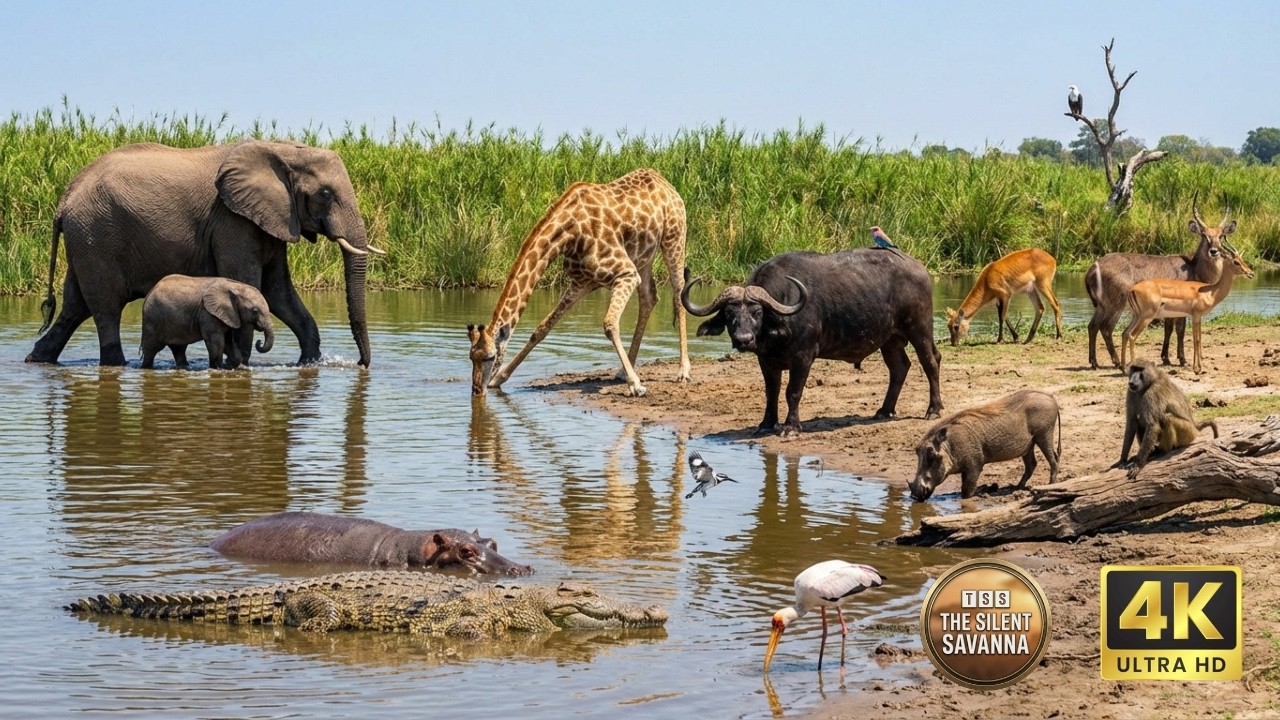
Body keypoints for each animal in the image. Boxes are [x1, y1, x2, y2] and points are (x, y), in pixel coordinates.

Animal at [140, 274, 276, 370]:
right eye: (255, 311)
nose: (259, 342)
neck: (235, 287)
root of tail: (150, 292)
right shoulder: (208, 313)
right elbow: (217, 342)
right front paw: (217, 368)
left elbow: (227, 342)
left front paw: (235, 366)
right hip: (153, 319)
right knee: (150, 349)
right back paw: (146, 367)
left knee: (179, 348)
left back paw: (184, 367)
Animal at [467, 168, 691, 397]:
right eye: (471, 357)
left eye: (490, 357)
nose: (477, 390)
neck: (569, 231)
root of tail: (664, 181)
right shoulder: (581, 282)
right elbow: (542, 328)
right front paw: (499, 379)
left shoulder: (625, 274)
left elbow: (609, 324)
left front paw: (636, 385)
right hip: (643, 257)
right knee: (649, 297)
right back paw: (622, 370)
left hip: (674, 237)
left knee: (678, 293)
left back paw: (683, 371)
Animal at [682, 249, 943, 435]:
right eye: (729, 314)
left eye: (757, 312)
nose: (743, 340)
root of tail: (919, 268)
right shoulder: (766, 360)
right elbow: (771, 391)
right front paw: (766, 423)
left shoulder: (803, 356)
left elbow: (793, 391)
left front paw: (791, 427)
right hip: (889, 340)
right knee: (899, 368)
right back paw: (884, 411)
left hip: (919, 329)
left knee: (931, 361)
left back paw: (933, 409)